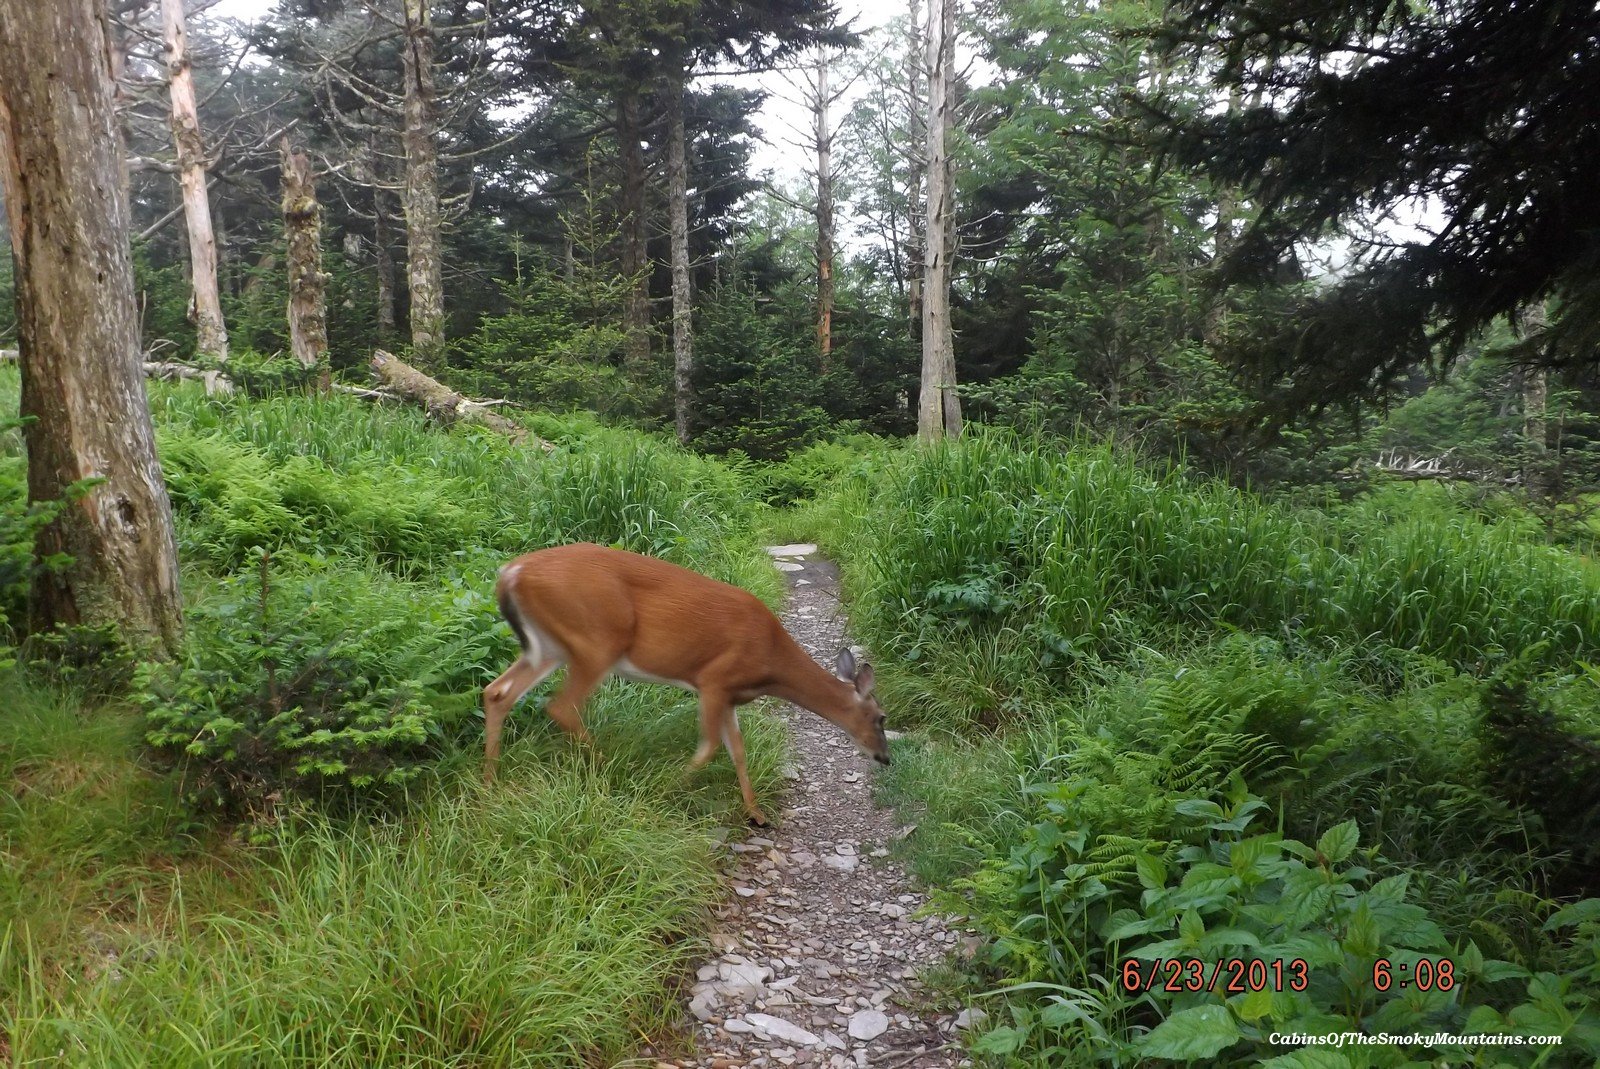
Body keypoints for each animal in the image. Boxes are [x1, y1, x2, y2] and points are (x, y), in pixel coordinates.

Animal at [480, 544, 896, 825]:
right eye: (881, 717)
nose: (885, 758)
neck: (771, 662)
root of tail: (511, 572)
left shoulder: (730, 695)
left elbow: (738, 750)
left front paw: (756, 813)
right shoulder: (714, 680)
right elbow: (709, 746)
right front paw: (665, 788)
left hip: (549, 646)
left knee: (497, 691)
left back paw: (490, 780)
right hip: (596, 640)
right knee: (561, 706)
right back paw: (610, 770)